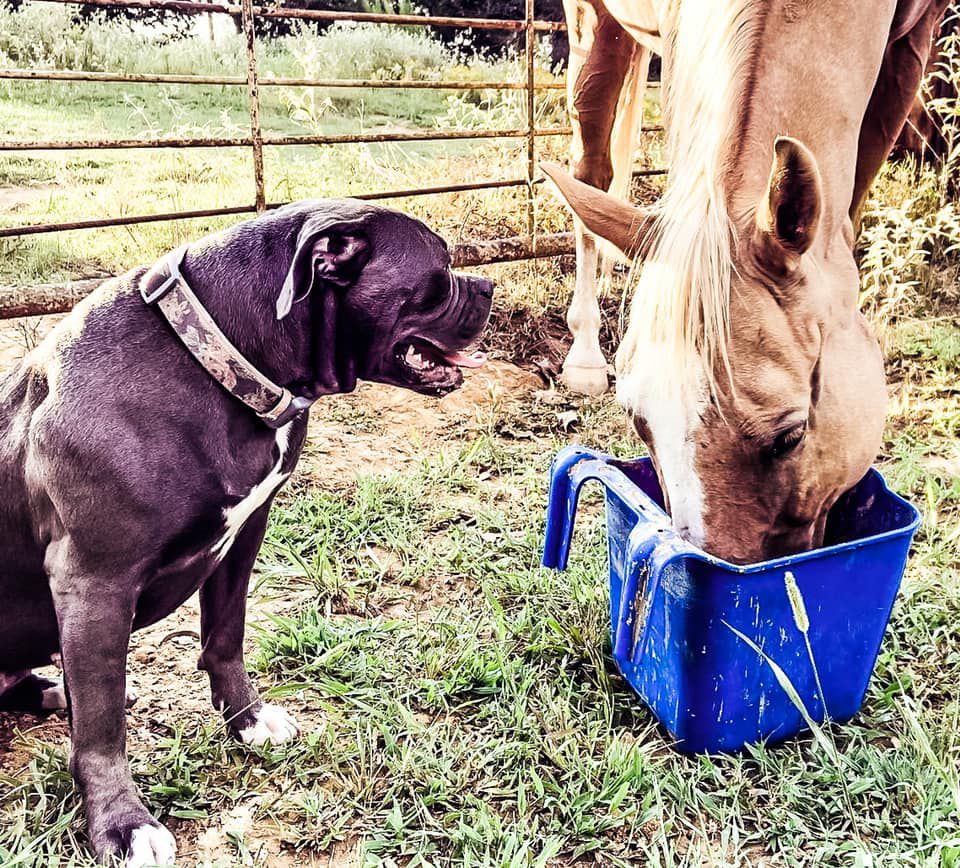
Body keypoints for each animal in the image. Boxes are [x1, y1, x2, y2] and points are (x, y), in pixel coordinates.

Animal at [0, 198, 496, 868]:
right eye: (439, 272)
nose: (488, 286)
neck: (216, 356)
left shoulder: (245, 533)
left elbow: (225, 636)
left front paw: (247, 719)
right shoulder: (94, 581)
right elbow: (100, 728)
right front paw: (122, 824)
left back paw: (54, 691)